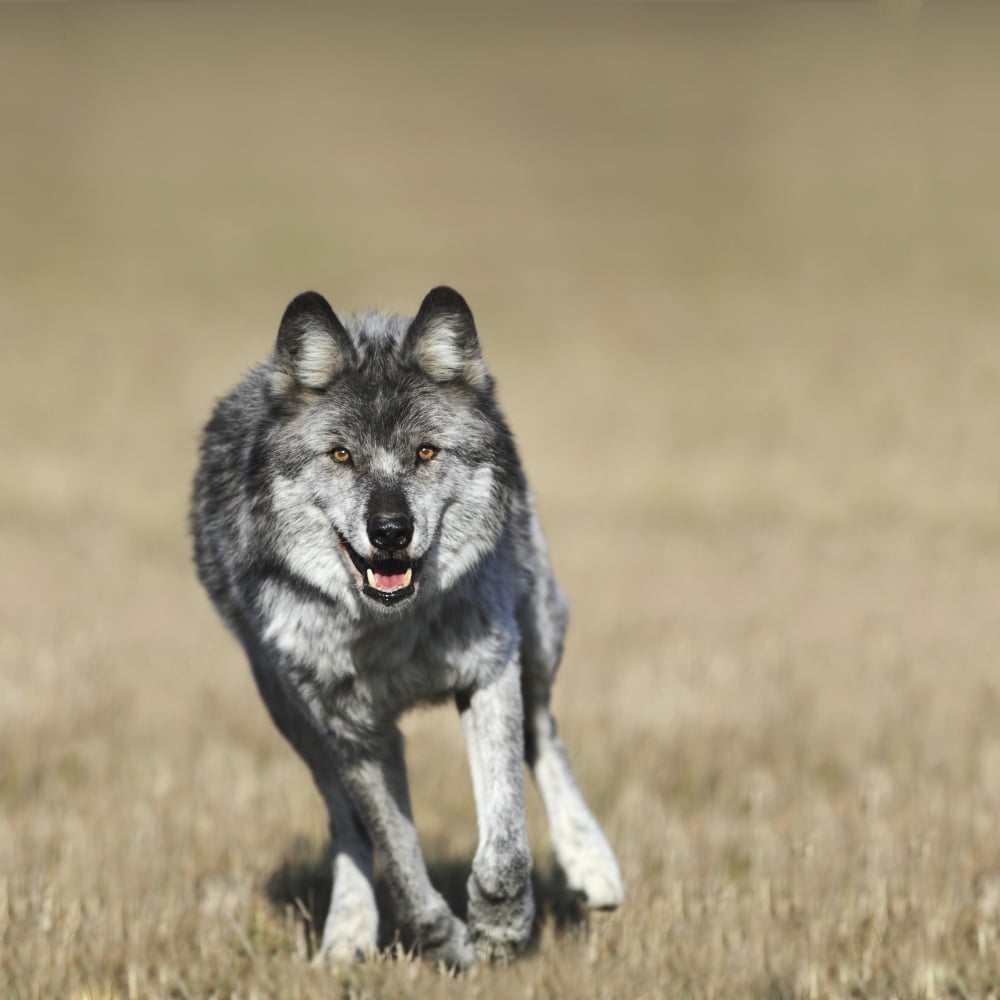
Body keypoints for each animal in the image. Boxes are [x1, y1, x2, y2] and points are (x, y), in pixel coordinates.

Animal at [190, 286, 623, 967]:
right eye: (341, 455)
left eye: (425, 452)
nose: (390, 531)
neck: (391, 632)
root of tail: (375, 322)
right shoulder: (354, 734)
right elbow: (398, 864)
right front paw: (449, 942)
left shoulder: (489, 675)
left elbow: (505, 845)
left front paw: (500, 930)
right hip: (297, 721)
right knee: (346, 824)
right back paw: (346, 934)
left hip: (538, 635)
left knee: (544, 731)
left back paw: (592, 864)